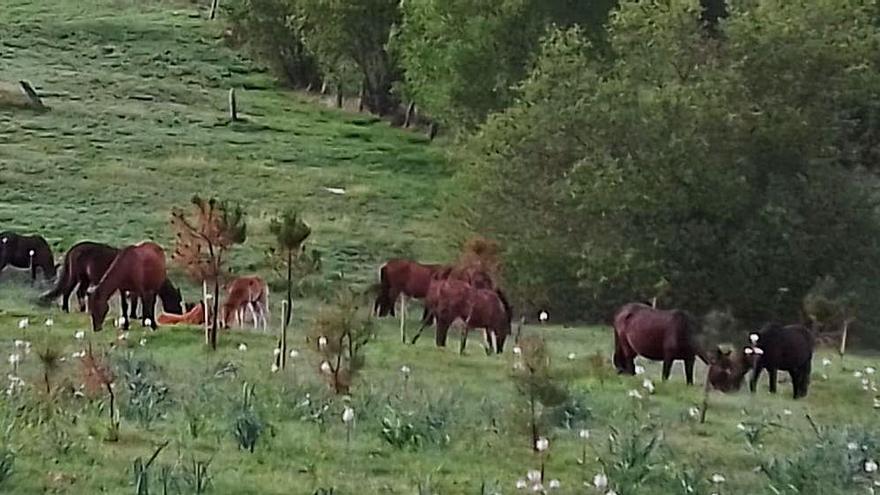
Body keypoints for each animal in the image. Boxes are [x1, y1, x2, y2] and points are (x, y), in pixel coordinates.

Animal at [41, 243, 182, 320]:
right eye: (178, 301)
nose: (180, 314)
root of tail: (73, 248)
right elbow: (134, 301)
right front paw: (134, 316)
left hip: (85, 279)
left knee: (78, 292)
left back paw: (82, 309)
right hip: (77, 276)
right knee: (68, 291)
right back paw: (67, 309)